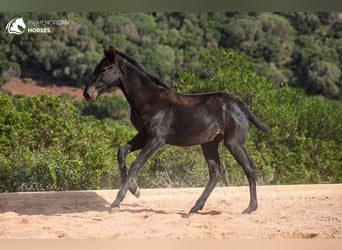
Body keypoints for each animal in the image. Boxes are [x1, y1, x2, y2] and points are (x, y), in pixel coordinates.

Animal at [83, 46, 270, 216]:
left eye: (105, 69)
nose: (87, 94)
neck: (150, 100)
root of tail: (242, 106)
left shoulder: (156, 139)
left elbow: (136, 164)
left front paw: (116, 203)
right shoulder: (143, 135)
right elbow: (122, 152)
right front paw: (135, 190)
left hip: (234, 142)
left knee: (249, 167)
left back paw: (250, 208)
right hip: (209, 143)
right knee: (215, 172)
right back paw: (194, 208)